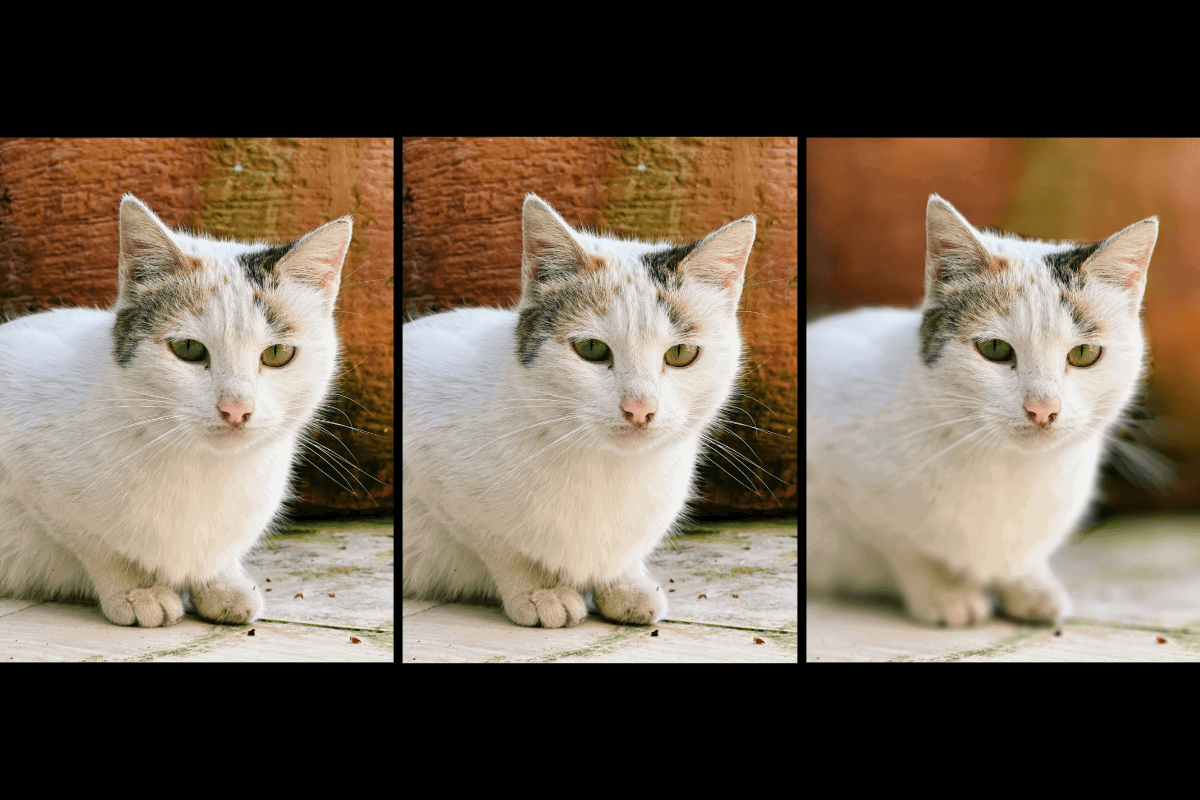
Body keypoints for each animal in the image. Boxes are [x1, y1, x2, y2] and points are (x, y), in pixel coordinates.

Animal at [0, 191, 350, 623]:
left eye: (277, 354)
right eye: (187, 349)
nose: (236, 408)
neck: (205, 467)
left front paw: (222, 583)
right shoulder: (31, 475)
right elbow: (98, 546)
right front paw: (137, 590)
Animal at [405, 191, 758, 623]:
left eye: (680, 354)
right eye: (591, 349)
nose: (639, 408)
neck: (608, 467)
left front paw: (625, 584)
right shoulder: (434, 478)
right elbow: (501, 546)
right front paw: (540, 591)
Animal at [801, 194, 1156, 623]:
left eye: (1085, 353)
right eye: (995, 349)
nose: (1042, 409)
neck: (1010, 468)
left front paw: (1030, 585)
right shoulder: (837, 485)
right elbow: (903, 547)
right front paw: (947, 592)